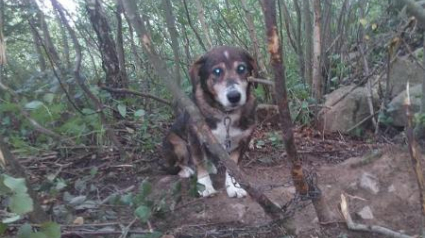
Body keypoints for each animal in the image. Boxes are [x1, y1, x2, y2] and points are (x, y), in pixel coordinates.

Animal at [161, 45, 255, 198]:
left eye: (241, 68)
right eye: (217, 71)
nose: (234, 96)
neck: (225, 114)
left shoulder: (243, 141)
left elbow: (233, 167)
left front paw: (233, 186)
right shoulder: (194, 136)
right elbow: (199, 162)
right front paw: (205, 186)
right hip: (178, 144)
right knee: (174, 166)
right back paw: (186, 170)